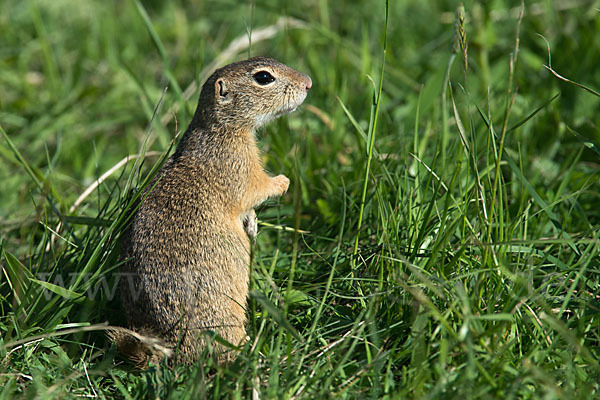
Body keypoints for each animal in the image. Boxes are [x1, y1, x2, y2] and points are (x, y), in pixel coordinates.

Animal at [113, 56, 312, 366]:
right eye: (264, 78)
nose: (308, 83)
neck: (220, 129)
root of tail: (167, 345)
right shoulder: (239, 167)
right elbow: (257, 188)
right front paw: (283, 181)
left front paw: (253, 224)